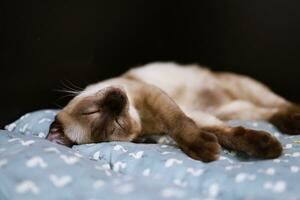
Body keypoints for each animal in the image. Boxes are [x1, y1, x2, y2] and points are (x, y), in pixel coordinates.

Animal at [46, 62, 300, 162]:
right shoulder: (201, 121)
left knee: (282, 103)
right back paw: (286, 128)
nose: (116, 101)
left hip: (248, 89)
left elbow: (178, 122)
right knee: (270, 112)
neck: (142, 117)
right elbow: (229, 136)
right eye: (117, 123)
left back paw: (294, 121)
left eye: (90, 111)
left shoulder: (151, 94)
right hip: (235, 109)